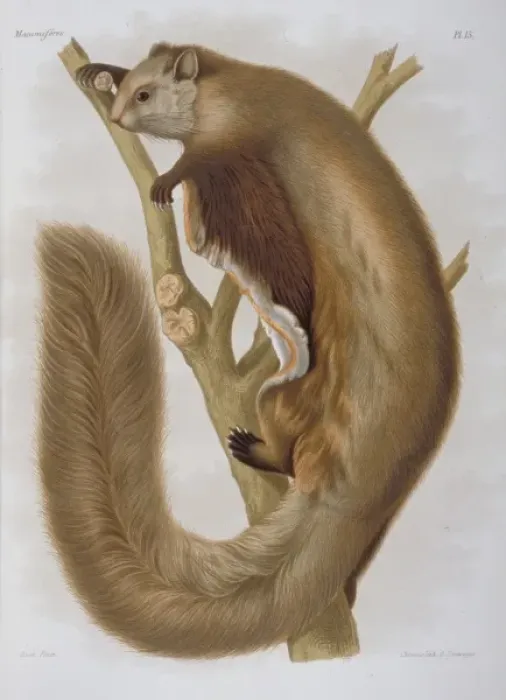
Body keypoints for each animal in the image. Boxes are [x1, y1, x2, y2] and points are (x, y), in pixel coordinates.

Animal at [35, 43, 462, 658]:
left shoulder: (229, 135)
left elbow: (198, 159)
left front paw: (165, 180)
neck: (228, 86)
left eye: (145, 95)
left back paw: (253, 448)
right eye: (129, 87)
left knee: (286, 451)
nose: (116, 117)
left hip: (280, 398)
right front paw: (97, 70)